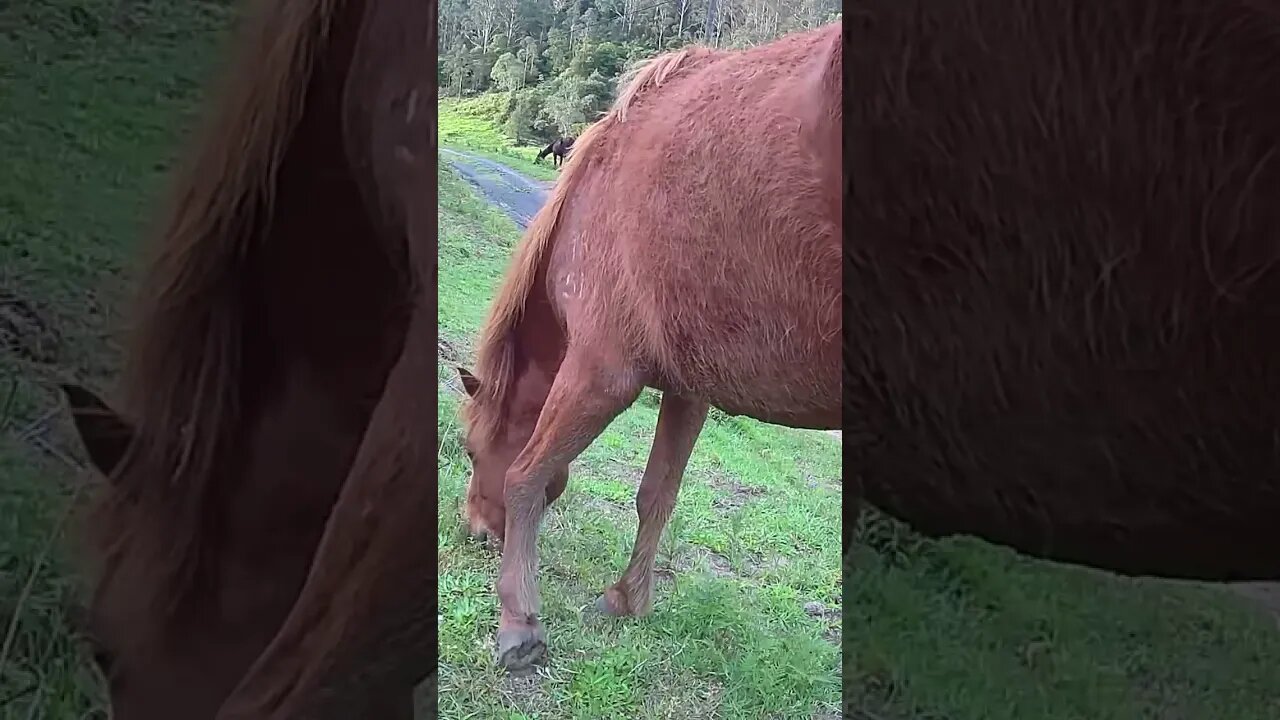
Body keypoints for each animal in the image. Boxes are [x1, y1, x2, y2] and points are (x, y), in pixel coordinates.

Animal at [457, 23, 842, 671]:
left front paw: (518, 622)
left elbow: (527, 475)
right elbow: (656, 496)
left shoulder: (599, 372)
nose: (474, 531)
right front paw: (625, 599)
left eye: (466, 449)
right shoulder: (689, 388)